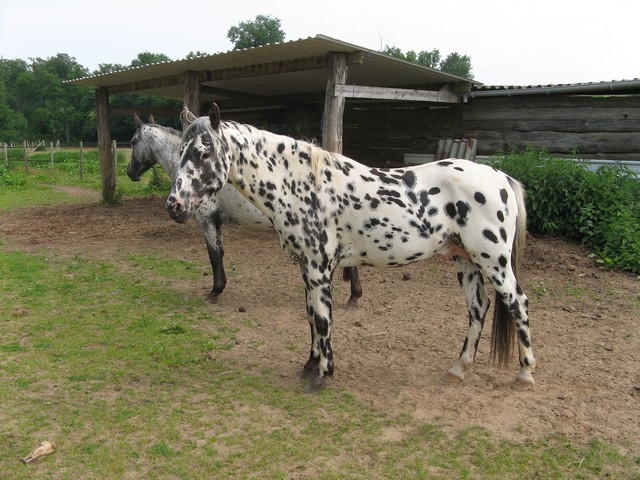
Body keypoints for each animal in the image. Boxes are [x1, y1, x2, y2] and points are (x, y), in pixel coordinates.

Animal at [127, 114, 363, 305]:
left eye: (132, 141)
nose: (130, 173)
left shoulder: (206, 220)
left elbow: (214, 255)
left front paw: (215, 291)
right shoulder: (217, 221)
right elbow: (219, 253)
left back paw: (354, 295)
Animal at [166, 104, 535, 391]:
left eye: (203, 153)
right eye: (180, 152)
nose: (174, 206)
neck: (302, 185)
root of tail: (501, 177)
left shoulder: (319, 267)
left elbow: (323, 320)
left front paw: (323, 374)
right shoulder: (307, 268)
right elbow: (311, 317)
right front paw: (309, 365)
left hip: (493, 262)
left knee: (517, 304)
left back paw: (525, 374)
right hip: (466, 261)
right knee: (478, 308)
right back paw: (458, 369)